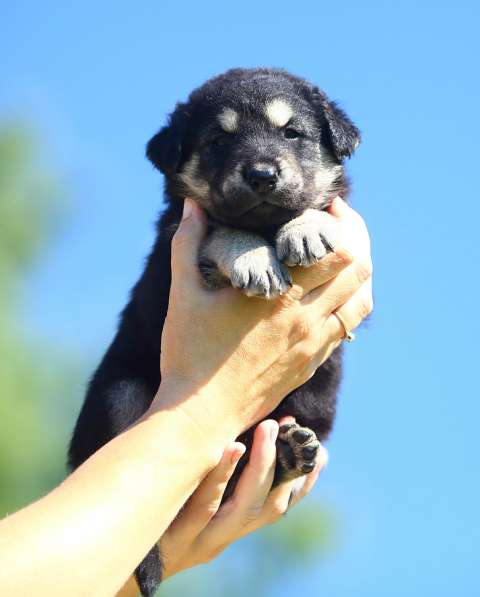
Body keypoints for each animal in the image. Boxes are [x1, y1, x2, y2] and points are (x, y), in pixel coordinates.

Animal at [68, 67, 360, 592]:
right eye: (220, 140)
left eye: (292, 133)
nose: (262, 174)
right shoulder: (175, 243)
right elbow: (221, 229)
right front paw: (252, 257)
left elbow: (320, 208)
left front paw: (305, 228)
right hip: (118, 394)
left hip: (314, 407)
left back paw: (289, 452)